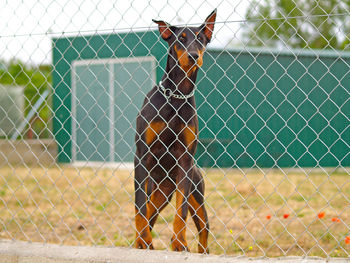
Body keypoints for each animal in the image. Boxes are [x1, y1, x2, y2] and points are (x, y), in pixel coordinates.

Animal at [134, 9, 216, 255]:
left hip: (194, 191)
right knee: (148, 214)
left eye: (201, 39)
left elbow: (181, 211)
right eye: (181, 39)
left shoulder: (185, 160)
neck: (177, 95)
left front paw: (179, 243)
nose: (193, 56)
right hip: (156, 191)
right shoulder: (142, 155)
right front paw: (142, 242)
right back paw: (142, 240)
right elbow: (139, 208)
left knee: (203, 228)